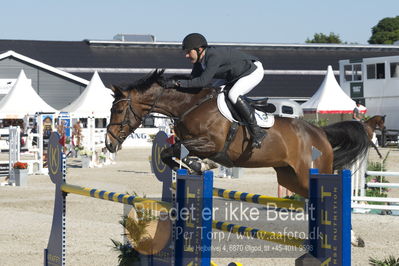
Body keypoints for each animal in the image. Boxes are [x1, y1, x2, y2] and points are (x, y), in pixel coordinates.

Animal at [105, 69, 372, 198]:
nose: (108, 143)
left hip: (312, 172)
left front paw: (203, 165)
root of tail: (319, 131)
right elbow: (168, 154)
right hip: (290, 177)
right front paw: (198, 167)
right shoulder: (187, 141)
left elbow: (183, 153)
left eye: (117, 109)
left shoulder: (211, 143)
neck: (189, 105)